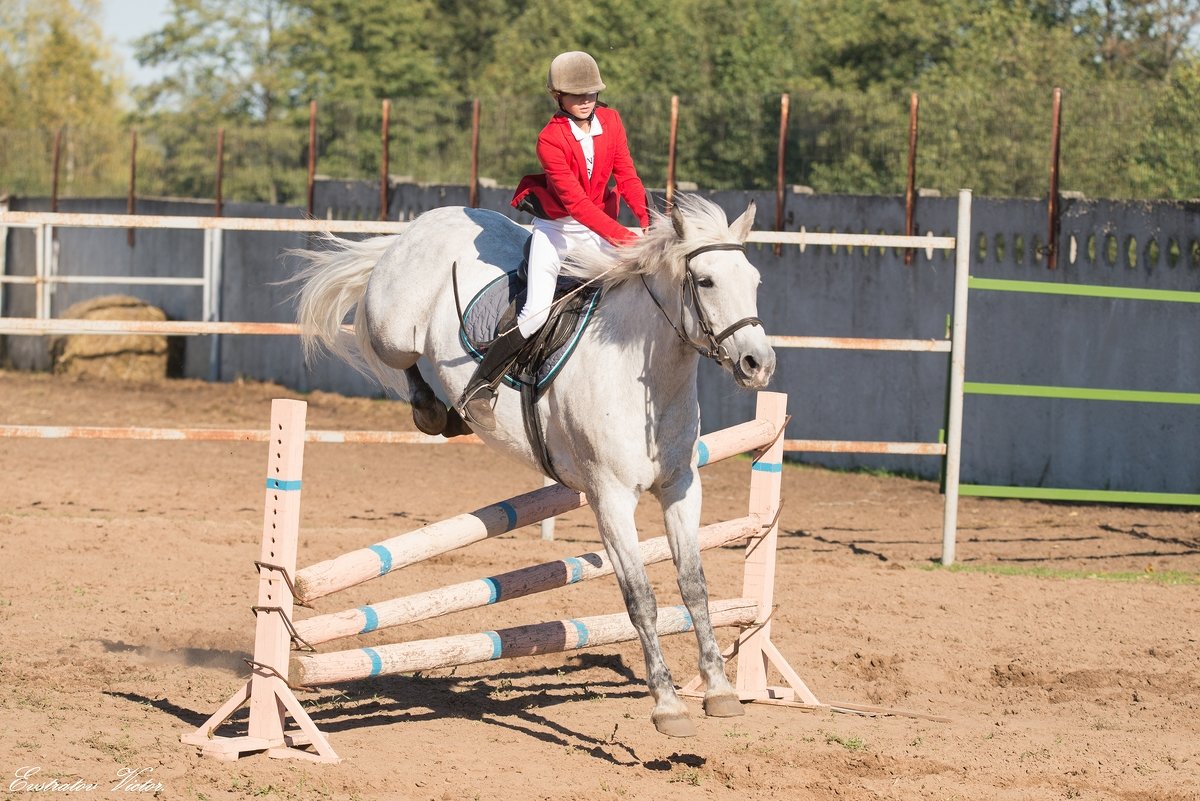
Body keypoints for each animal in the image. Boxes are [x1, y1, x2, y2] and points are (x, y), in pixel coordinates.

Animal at [291, 194, 777, 738]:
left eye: (754, 280)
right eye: (707, 281)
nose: (759, 364)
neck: (648, 376)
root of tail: (422, 223)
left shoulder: (681, 487)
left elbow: (694, 586)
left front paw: (719, 689)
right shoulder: (609, 498)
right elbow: (640, 597)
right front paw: (668, 705)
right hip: (393, 328)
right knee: (395, 353)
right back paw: (436, 408)